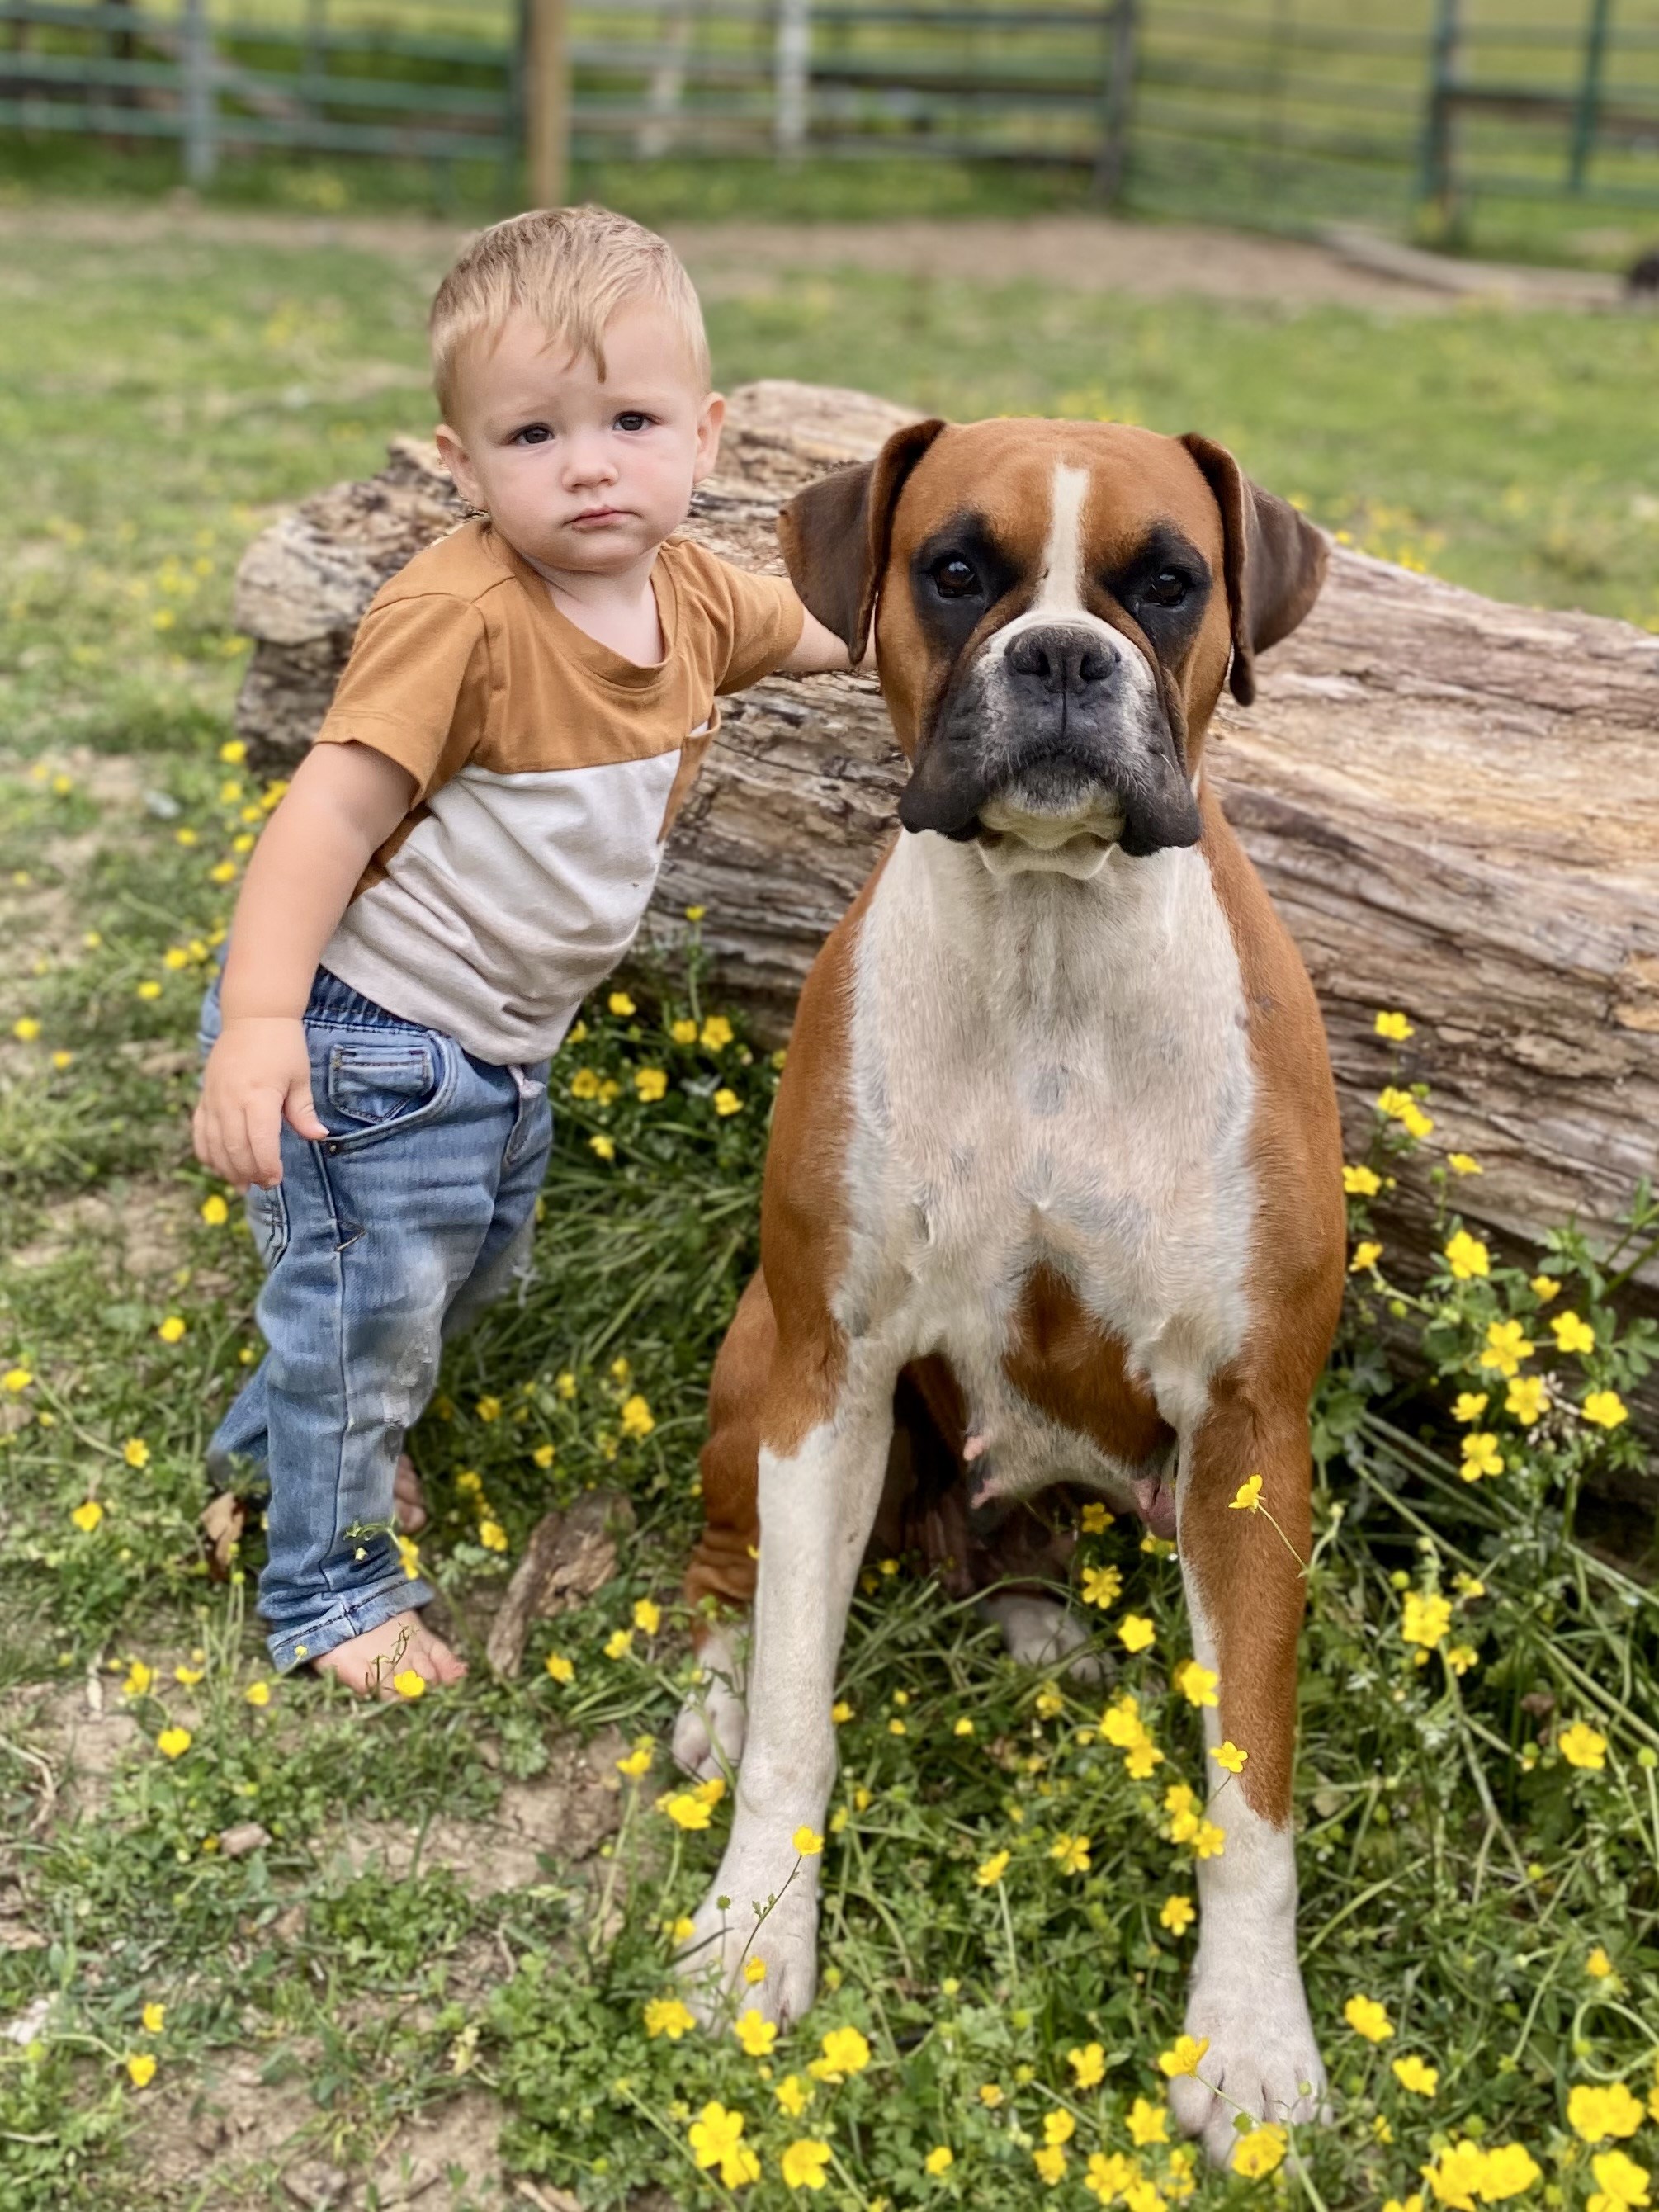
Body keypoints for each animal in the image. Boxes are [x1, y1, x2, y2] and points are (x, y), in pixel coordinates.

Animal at [671, 415, 1344, 2166]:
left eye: (1168, 584)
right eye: (956, 569)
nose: (1058, 659)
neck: (1050, 951)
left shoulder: (1252, 1434)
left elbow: (1251, 1784)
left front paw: (1253, 2038)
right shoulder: (829, 1375)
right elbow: (796, 1712)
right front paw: (753, 1932)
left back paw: (1040, 1617)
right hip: (753, 1365)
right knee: (726, 1577)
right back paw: (713, 1689)